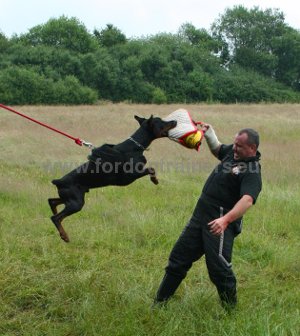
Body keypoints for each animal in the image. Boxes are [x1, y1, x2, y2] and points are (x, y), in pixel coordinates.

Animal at [47, 115, 176, 242]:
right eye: (161, 122)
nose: (175, 121)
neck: (136, 146)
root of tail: (58, 181)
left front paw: (155, 179)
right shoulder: (130, 175)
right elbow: (151, 169)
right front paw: (154, 180)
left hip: (73, 197)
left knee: (52, 201)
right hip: (76, 202)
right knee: (55, 218)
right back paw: (64, 236)